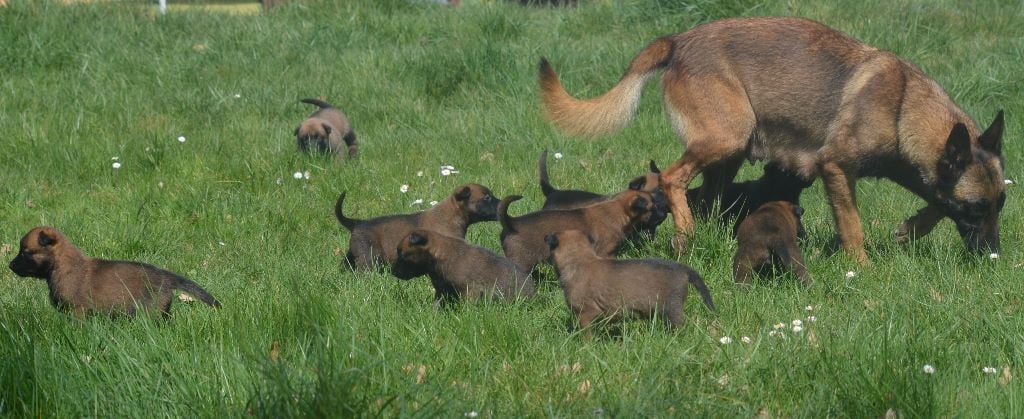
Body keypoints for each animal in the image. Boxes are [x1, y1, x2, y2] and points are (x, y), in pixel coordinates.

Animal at [540, 17, 1003, 264]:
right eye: (976, 208)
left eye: (1000, 204)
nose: (993, 258)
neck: (903, 107)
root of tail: (679, 40)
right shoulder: (836, 168)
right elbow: (852, 226)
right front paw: (863, 267)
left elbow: (935, 202)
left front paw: (909, 230)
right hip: (728, 136)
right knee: (674, 178)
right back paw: (684, 235)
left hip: (730, 154)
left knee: (705, 197)